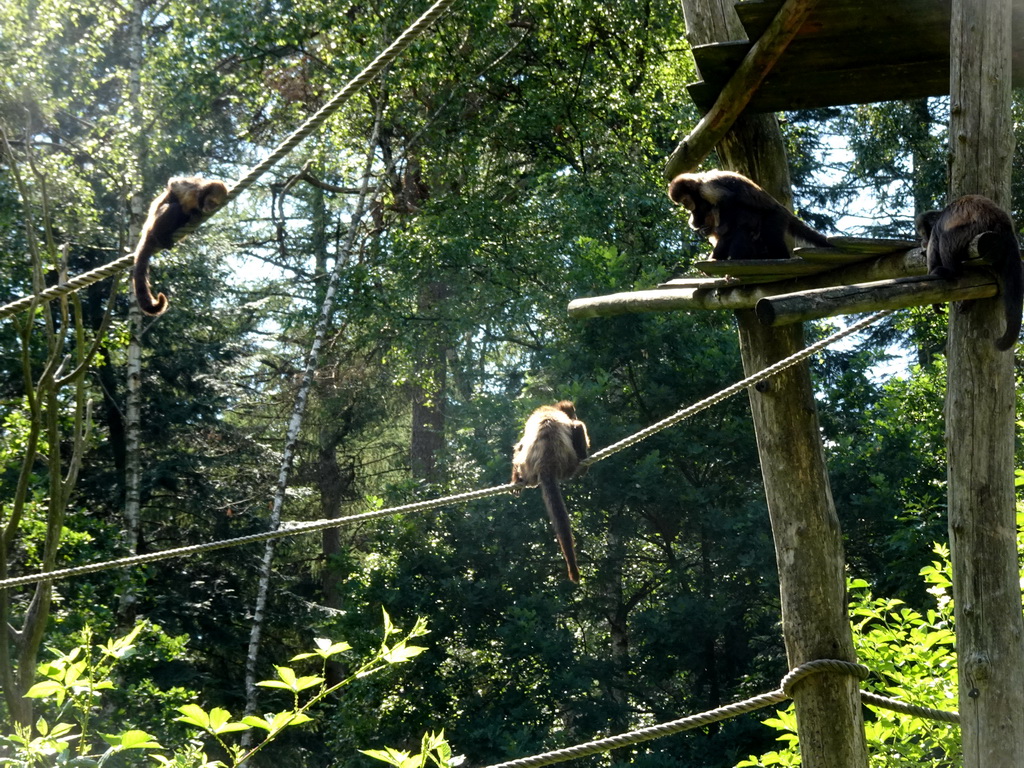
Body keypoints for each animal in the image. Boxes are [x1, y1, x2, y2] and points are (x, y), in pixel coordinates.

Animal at [130, 176, 228, 313]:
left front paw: (193, 214)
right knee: (175, 207)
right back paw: (159, 235)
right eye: (211, 201)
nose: (209, 208)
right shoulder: (193, 188)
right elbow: (173, 184)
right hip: (154, 224)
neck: (199, 199)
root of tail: (147, 230)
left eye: (215, 204)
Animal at [512, 403, 593, 581]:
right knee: (579, 428)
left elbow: (519, 445)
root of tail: (546, 463)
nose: (575, 416)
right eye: (574, 414)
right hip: (568, 465)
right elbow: (577, 426)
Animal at [671, 169, 831, 260]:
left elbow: (728, 199)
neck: (699, 181)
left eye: (685, 201)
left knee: (770, 234)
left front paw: (722, 229)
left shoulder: (705, 189)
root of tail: (781, 208)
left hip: (776, 217)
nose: (686, 207)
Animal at [917, 192, 1019, 352]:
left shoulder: (936, 227)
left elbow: (935, 243)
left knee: (945, 237)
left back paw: (950, 271)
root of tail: (1003, 222)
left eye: (922, 232)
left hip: (972, 229)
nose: (922, 239)